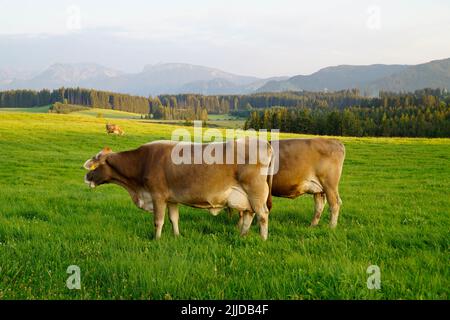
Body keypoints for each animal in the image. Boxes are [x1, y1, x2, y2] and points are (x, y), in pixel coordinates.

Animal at [84, 138, 274, 240]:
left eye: (95, 165)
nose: (86, 178)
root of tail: (264, 143)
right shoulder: (171, 199)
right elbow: (174, 219)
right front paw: (176, 236)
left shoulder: (158, 195)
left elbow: (158, 220)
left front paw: (157, 239)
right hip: (245, 197)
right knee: (249, 215)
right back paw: (242, 235)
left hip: (256, 192)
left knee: (263, 215)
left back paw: (263, 238)